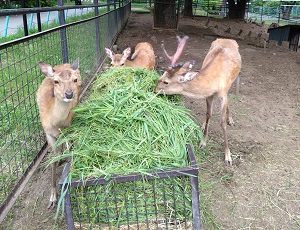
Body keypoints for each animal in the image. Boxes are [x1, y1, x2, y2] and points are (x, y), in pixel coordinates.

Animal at [36, 58, 81, 208]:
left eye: (74, 79)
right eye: (56, 81)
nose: (69, 94)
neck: (55, 123)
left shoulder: (70, 125)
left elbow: (70, 146)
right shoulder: (48, 133)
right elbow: (53, 161)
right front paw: (52, 198)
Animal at [156, 36, 243, 164]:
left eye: (166, 82)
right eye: (161, 75)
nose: (154, 89)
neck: (214, 81)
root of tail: (227, 39)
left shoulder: (223, 94)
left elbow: (222, 122)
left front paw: (228, 155)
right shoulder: (209, 95)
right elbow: (208, 115)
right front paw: (203, 141)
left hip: (232, 81)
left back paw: (230, 120)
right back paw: (203, 125)